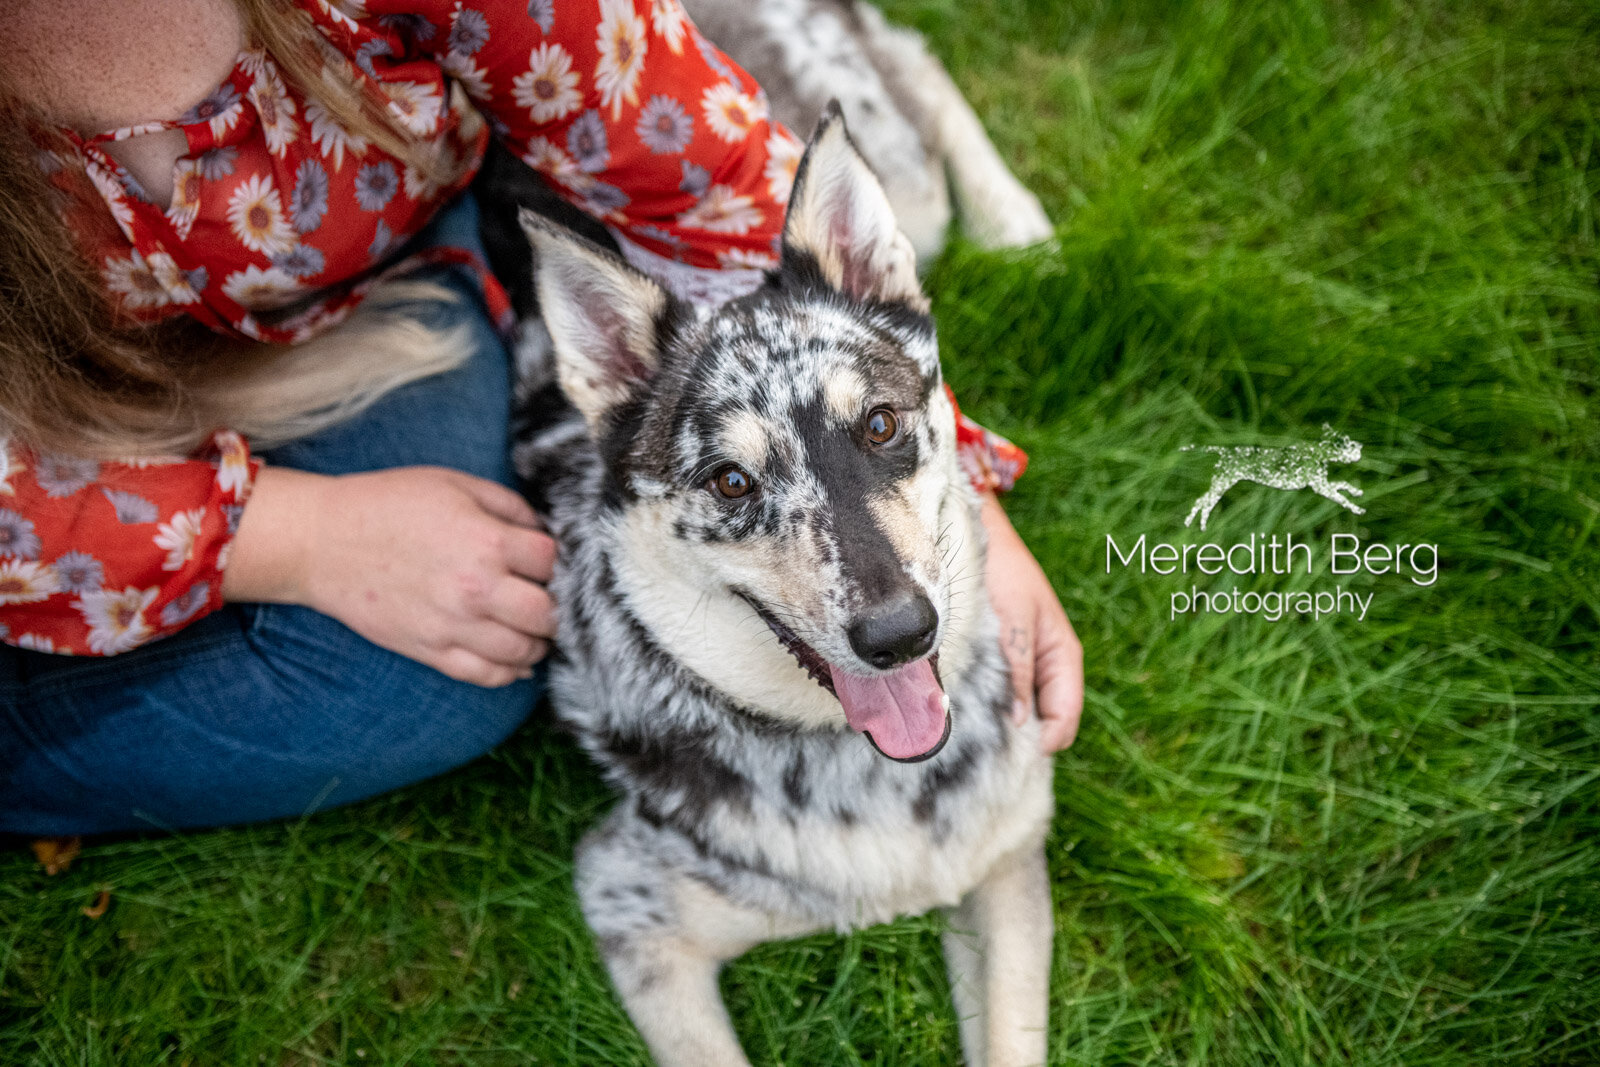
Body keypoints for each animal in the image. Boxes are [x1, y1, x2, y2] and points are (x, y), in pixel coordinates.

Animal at [512, 99, 1056, 1067]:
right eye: (732, 481)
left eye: (880, 425)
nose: (901, 634)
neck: (867, 766)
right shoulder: (632, 902)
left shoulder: (1004, 858)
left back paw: (1012, 218)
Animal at [1184, 422, 1369, 531]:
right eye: (1344, 442)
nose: (1360, 447)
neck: (1319, 453)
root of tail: (1223, 451)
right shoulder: (1321, 487)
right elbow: (1342, 498)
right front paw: (1357, 508)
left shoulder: (1322, 484)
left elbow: (1343, 484)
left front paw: (1357, 492)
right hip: (1222, 484)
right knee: (1205, 504)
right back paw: (1201, 525)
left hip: (1219, 484)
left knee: (1200, 501)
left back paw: (1190, 523)